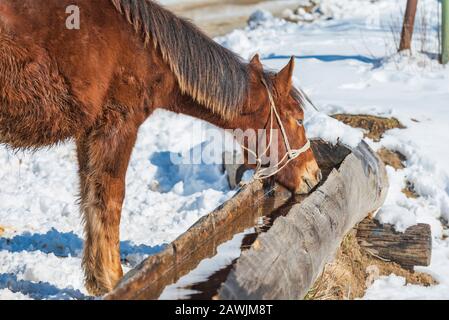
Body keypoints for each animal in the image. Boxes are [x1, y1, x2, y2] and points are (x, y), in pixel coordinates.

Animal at [0, 0, 322, 296]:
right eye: (299, 118)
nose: (315, 174)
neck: (141, 47)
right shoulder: (116, 124)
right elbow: (110, 198)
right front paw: (113, 280)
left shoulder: (88, 133)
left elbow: (90, 197)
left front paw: (98, 279)